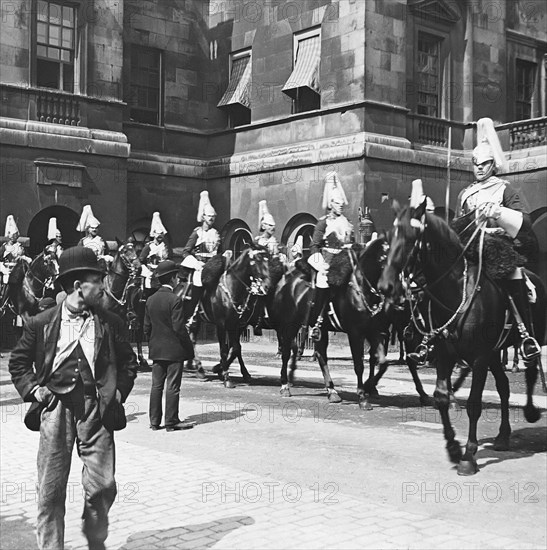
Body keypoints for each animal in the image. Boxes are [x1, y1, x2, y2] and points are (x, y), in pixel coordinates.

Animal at [378, 201, 544, 476]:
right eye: (389, 238)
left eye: (412, 237)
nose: (386, 287)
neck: (456, 291)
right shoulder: (447, 354)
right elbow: (442, 397)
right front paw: (453, 448)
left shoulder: (478, 358)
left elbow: (475, 404)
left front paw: (468, 457)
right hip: (494, 354)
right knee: (504, 386)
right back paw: (502, 436)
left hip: (530, 339)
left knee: (530, 370)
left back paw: (530, 412)